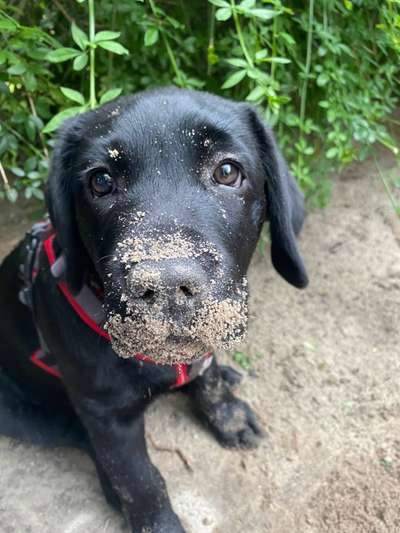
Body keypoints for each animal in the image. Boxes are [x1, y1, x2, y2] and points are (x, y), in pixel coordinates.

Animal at [0, 88, 308, 532]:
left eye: (227, 171)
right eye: (101, 181)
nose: (165, 287)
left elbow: (208, 377)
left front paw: (227, 414)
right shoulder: (106, 415)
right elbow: (139, 479)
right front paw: (157, 522)